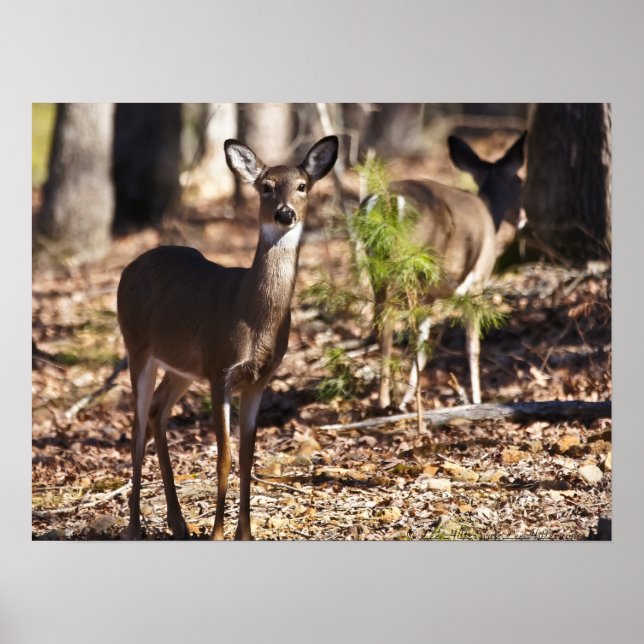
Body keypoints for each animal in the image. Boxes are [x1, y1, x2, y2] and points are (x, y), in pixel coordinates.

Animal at [117, 135, 338, 540]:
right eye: (266, 187)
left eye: (302, 186)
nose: (285, 214)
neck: (251, 312)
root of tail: (130, 267)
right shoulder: (220, 369)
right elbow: (225, 456)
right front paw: (219, 533)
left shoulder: (258, 379)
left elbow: (249, 455)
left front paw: (245, 533)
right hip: (137, 346)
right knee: (137, 427)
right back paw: (135, 527)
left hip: (183, 367)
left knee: (157, 411)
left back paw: (178, 523)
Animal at [368, 132, 527, 410]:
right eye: (520, 182)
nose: (524, 218)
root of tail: (388, 201)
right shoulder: (476, 282)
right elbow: (472, 346)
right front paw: (476, 399)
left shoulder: (430, 297)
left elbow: (422, 342)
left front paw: (408, 398)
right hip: (407, 266)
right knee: (388, 319)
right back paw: (385, 401)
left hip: (377, 267)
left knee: (380, 318)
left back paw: (387, 398)